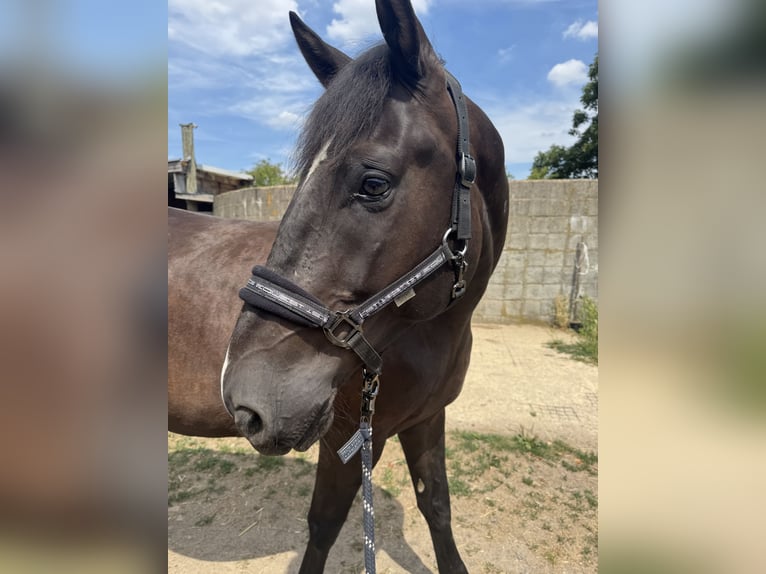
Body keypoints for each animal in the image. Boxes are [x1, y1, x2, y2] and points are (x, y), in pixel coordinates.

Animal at [172, 1, 509, 571]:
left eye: (373, 183)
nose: (244, 400)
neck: (429, 335)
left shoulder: (428, 419)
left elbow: (436, 505)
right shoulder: (347, 441)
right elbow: (324, 527)